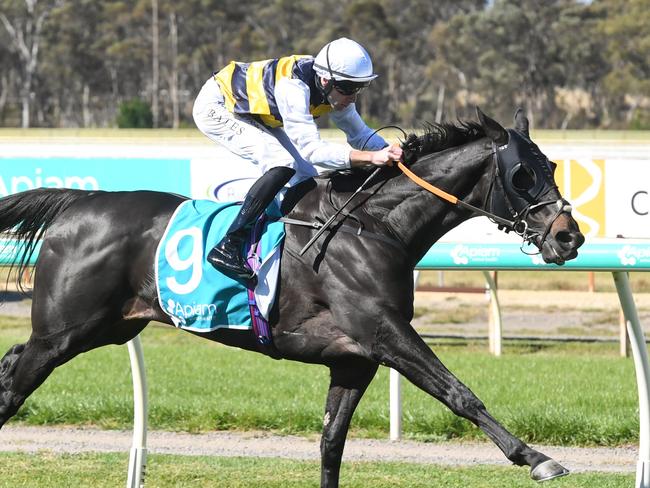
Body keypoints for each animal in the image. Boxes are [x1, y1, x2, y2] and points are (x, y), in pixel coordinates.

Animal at [0, 108, 584, 486]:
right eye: (522, 174)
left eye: (552, 167)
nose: (568, 237)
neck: (375, 227)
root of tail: (79, 201)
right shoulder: (384, 331)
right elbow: (460, 394)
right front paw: (537, 457)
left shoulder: (354, 359)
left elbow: (331, 444)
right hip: (63, 331)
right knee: (14, 387)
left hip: (108, 326)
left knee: (10, 364)